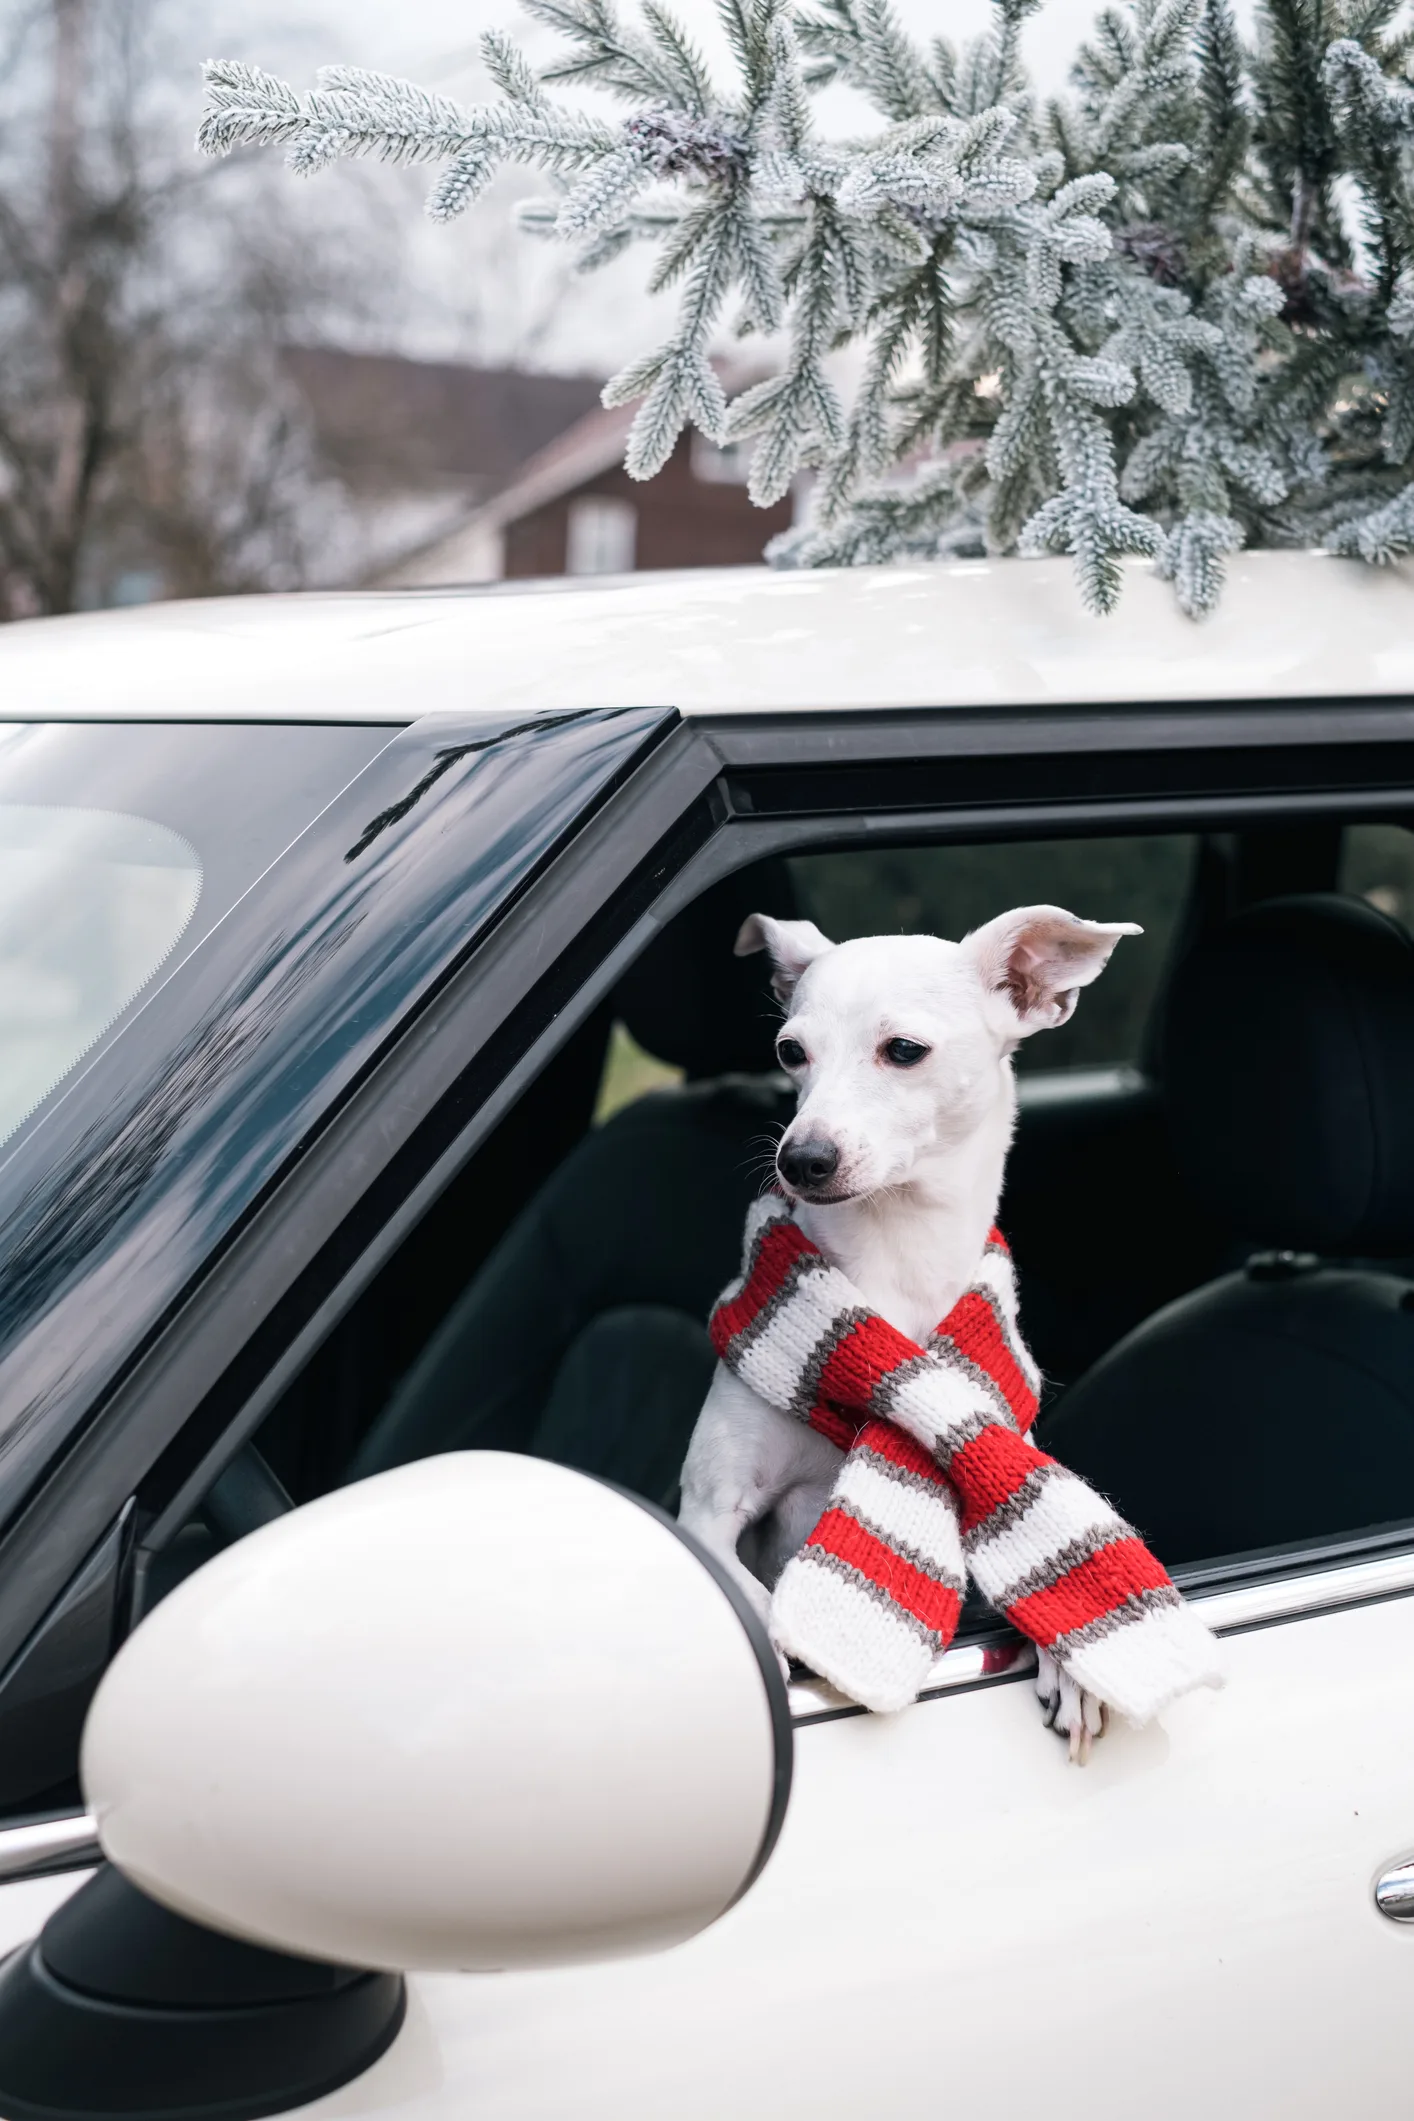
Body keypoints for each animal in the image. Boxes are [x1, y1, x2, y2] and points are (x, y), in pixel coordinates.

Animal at [678, 912, 1144, 1756]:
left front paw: (1076, 1662)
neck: (893, 1270)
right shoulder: (705, 1509)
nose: (801, 1157)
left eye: (903, 1050)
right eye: (790, 1051)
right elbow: (749, 1596)